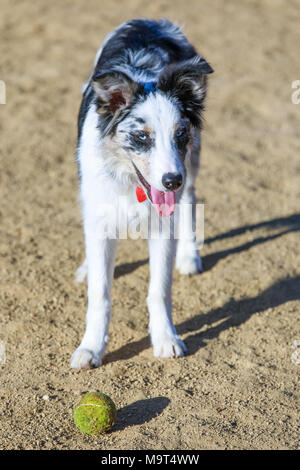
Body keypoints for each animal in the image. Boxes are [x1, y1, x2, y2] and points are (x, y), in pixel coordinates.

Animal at [69, 18, 213, 370]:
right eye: (141, 137)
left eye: (179, 133)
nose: (171, 180)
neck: (130, 184)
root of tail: (153, 21)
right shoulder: (101, 217)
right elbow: (100, 293)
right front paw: (91, 347)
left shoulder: (162, 226)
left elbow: (159, 289)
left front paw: (166, 339)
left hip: (193, 162)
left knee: (190, 200)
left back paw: (189, 255)